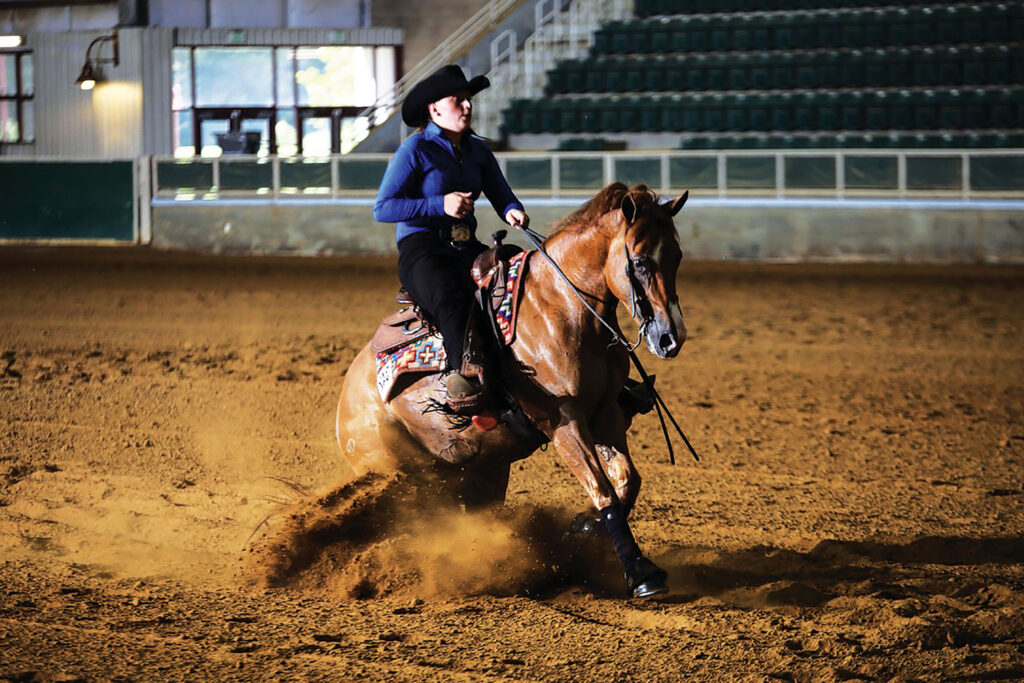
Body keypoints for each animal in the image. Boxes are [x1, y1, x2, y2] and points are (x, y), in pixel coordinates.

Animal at [335, 183, 688, 598]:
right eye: (641, 262)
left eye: (677, 256)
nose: (671, 338)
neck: (563, 308)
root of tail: (346, 401)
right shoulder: (563, 421)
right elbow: (602, 490)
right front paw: (641, 572)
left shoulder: (607, 413)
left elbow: (628, 481)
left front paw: (583, 528)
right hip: (397, 475)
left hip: (482, 472)